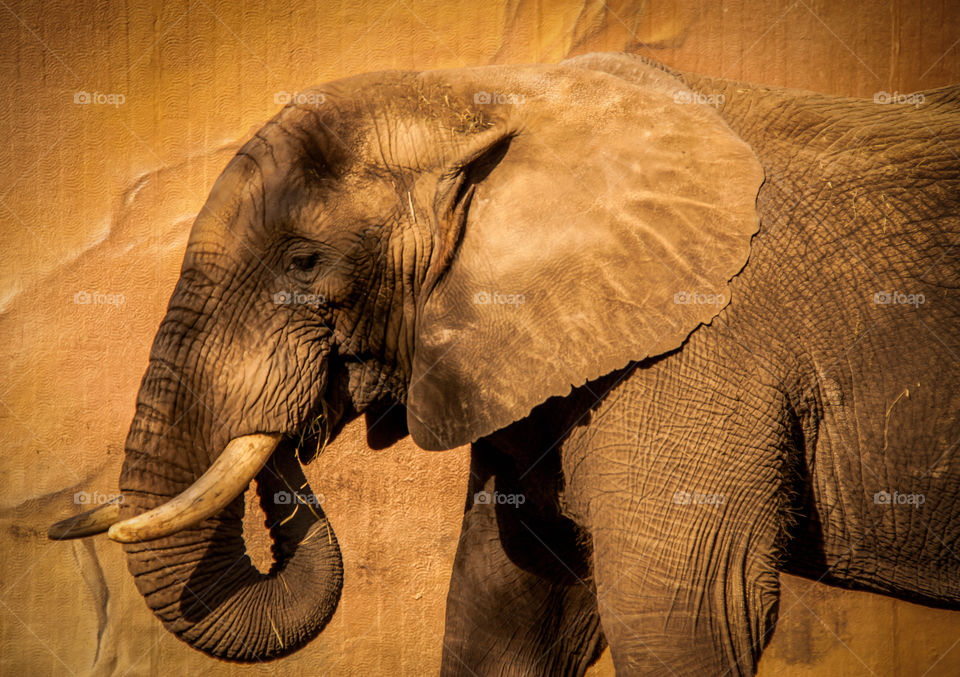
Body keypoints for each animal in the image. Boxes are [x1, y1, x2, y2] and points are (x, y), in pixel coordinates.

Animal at [48, 52, 960, 675]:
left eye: (304, 262)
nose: (297, 420)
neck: (493, 97)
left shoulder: (702, 353)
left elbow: (685, 611)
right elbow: (509, 608)